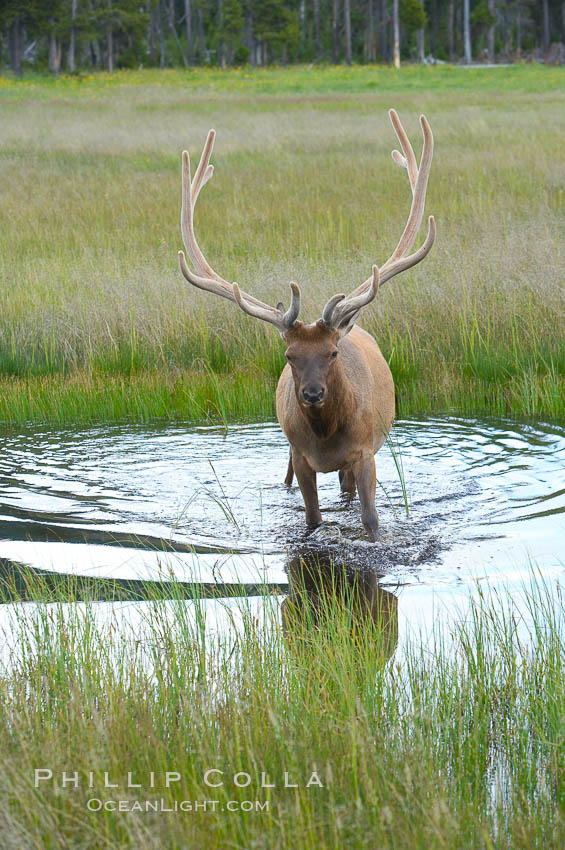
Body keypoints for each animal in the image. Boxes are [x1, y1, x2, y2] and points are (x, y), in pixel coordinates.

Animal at [178, 109, 434, 540]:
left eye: (332, 352)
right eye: (289, 355)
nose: (313, 393)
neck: (326, 437)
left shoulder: (364, 452)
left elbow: (370, 518)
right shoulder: (300, 455)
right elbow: (312, 519)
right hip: (287, 450)